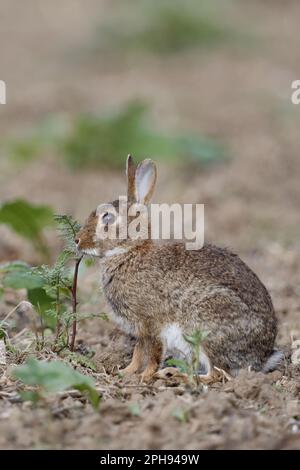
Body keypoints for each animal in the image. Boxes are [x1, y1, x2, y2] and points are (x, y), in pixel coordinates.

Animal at [76, 156, 282, 384]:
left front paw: (145, 377)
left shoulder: (152, 323)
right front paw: (126, 372)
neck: (129, 252)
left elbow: (153, 354)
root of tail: (261, 357)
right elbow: (138, 353)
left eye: (108, 218)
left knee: (217, 374)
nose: (77, 240)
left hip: (205, 327)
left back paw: (172, 374)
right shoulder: (140, 330)